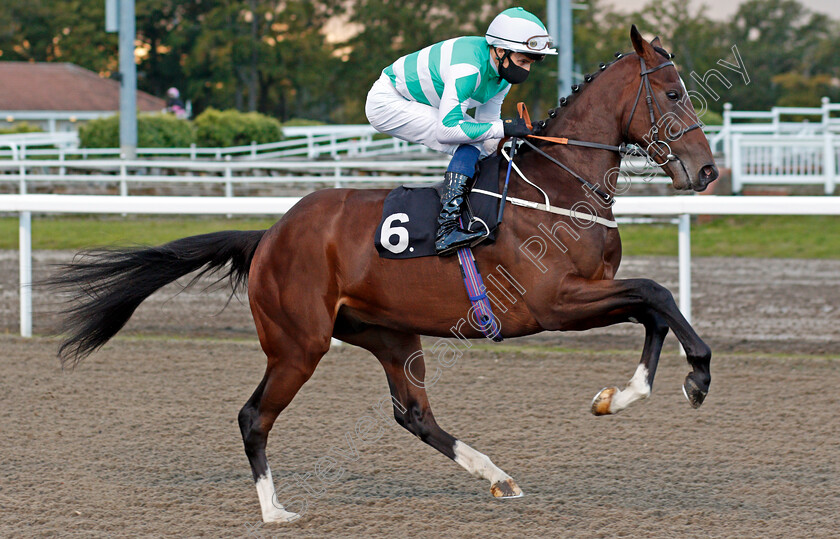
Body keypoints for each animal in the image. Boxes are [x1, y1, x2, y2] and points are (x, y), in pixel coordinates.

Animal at [47, 27, 716, 524]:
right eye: (674, 93)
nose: (706, 170)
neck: (557, 186)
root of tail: (269, 235)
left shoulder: (585, 294)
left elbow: (655, 308)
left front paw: (626, 394)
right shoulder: (553, 302)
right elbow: (656, 294)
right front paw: (697, 376)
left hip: (390, 334)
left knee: (413, 414)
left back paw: (496, 475)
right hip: (299, 344)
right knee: (253, 416)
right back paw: (274, 511)